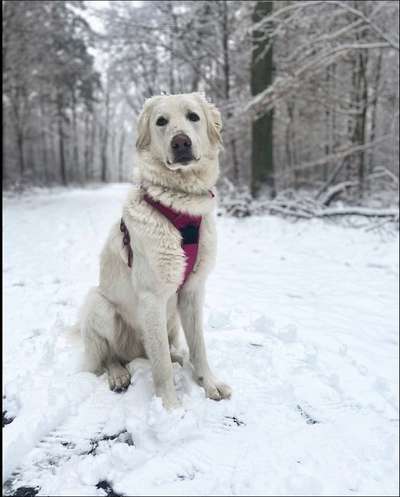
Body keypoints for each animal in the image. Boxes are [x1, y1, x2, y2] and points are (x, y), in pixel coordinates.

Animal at [79, 92, 231, 406]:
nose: (181, 142)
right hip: (99, 304)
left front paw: (209, 383)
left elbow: (199, 347)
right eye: (161, 121)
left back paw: (177, 357)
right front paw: (170, 407)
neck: (181, 205)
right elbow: (159, 365)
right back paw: (118, 374)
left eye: (193, 116)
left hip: (171, 318)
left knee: (165, 350)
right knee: (110, 356)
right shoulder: (152, 298)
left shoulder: (192, 292)